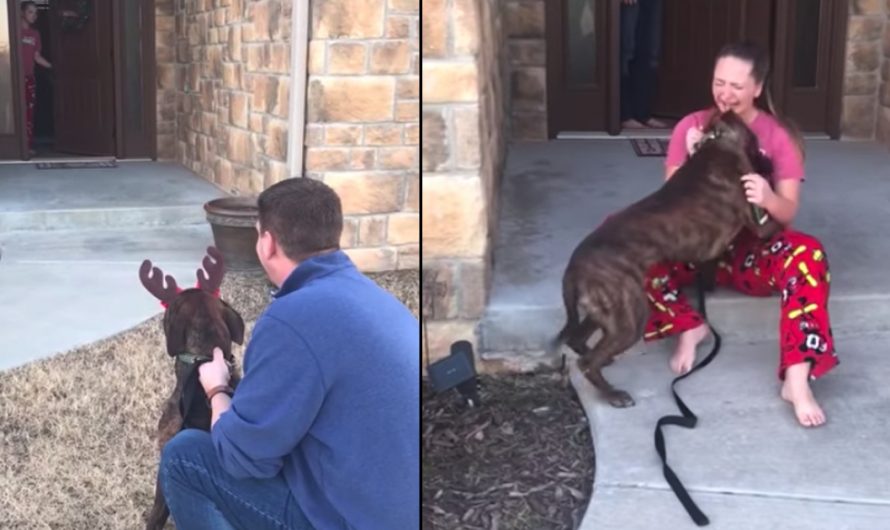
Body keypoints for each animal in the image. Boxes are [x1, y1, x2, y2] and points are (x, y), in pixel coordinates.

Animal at [552, 110, 780, 404]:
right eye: (757, 146)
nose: (771, 164)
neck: (718, 142)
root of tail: (573, 268)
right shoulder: (758, 221)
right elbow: (772, 225)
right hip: (629, 315)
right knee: (588, 361)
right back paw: (613, 394)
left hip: (604, 309)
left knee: (577, 339)